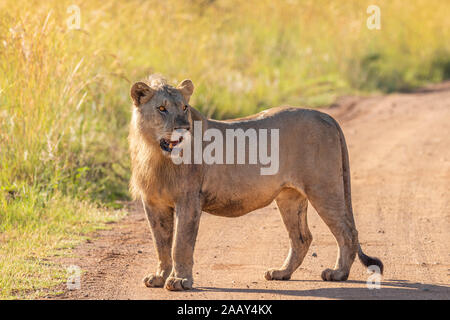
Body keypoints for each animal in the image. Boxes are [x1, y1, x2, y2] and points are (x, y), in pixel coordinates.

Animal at [127, 75, 384, 290]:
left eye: (184, 108)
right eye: (161, 108)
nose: (183, 128)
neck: (156, 155)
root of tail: (326, 116)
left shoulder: (189, 200)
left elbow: (180, 244)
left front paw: (180, 280)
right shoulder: (153, 203)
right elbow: (161, 243)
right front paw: (159, 277)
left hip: (323, 188)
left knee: (347, 231)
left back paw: (338, 273)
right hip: (290, 196)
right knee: (302, 238)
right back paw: (281, 273)